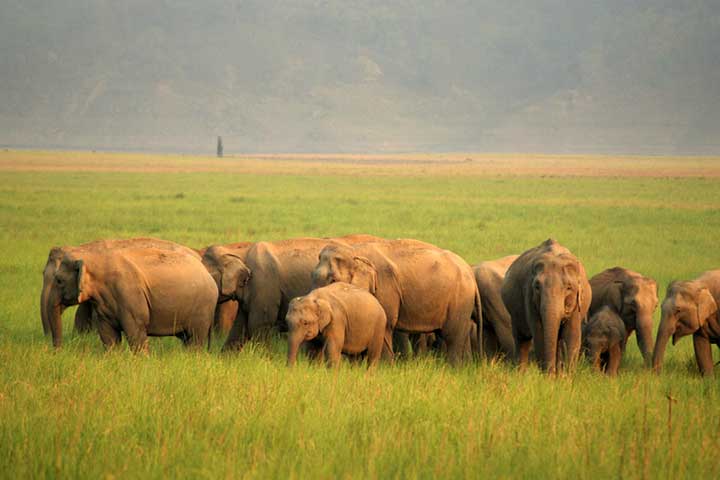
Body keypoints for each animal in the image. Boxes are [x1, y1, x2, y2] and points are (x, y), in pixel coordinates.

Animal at [312, 238, 480, 366]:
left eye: (333, 280)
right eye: (313, 276)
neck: (355, 251)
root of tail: (469, 271)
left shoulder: (386, 288)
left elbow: (386, 323)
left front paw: (385, 368)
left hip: (460, 299)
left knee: (452, 335)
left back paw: (453, 369)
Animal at [500, 240, 592, 376]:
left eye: (569, 288)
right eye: (537, 287)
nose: (551, 373)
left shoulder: (577, 304)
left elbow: (572, 335)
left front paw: (566, 377)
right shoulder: (529, 296)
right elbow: (539, 333)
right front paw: (549, 377)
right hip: (514, 313)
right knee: (522, 339)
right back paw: (520, 374)